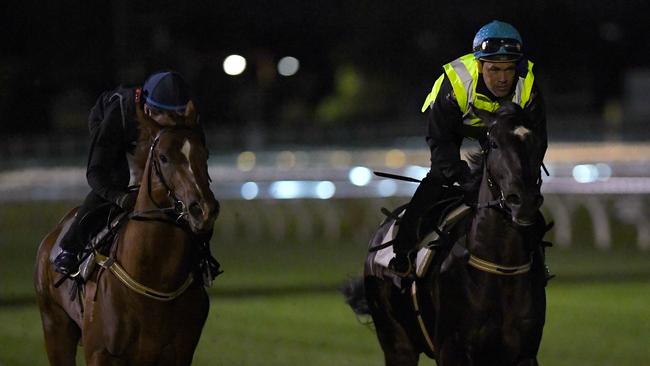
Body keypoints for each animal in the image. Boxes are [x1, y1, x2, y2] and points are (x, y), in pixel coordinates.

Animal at [33, 101, 219, 364]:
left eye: (205, 154)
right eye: (163, 157)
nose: (203, 210)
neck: (155, 280)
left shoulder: (179, 354)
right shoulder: (100, 353)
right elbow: (97, 169)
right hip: (55, 327)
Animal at [344, 101, 548, 364]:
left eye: (539, 144)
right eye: (494, 144)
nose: (523, 202)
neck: (501, 267)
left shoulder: (524, 353)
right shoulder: (451, 349)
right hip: (397, 343)